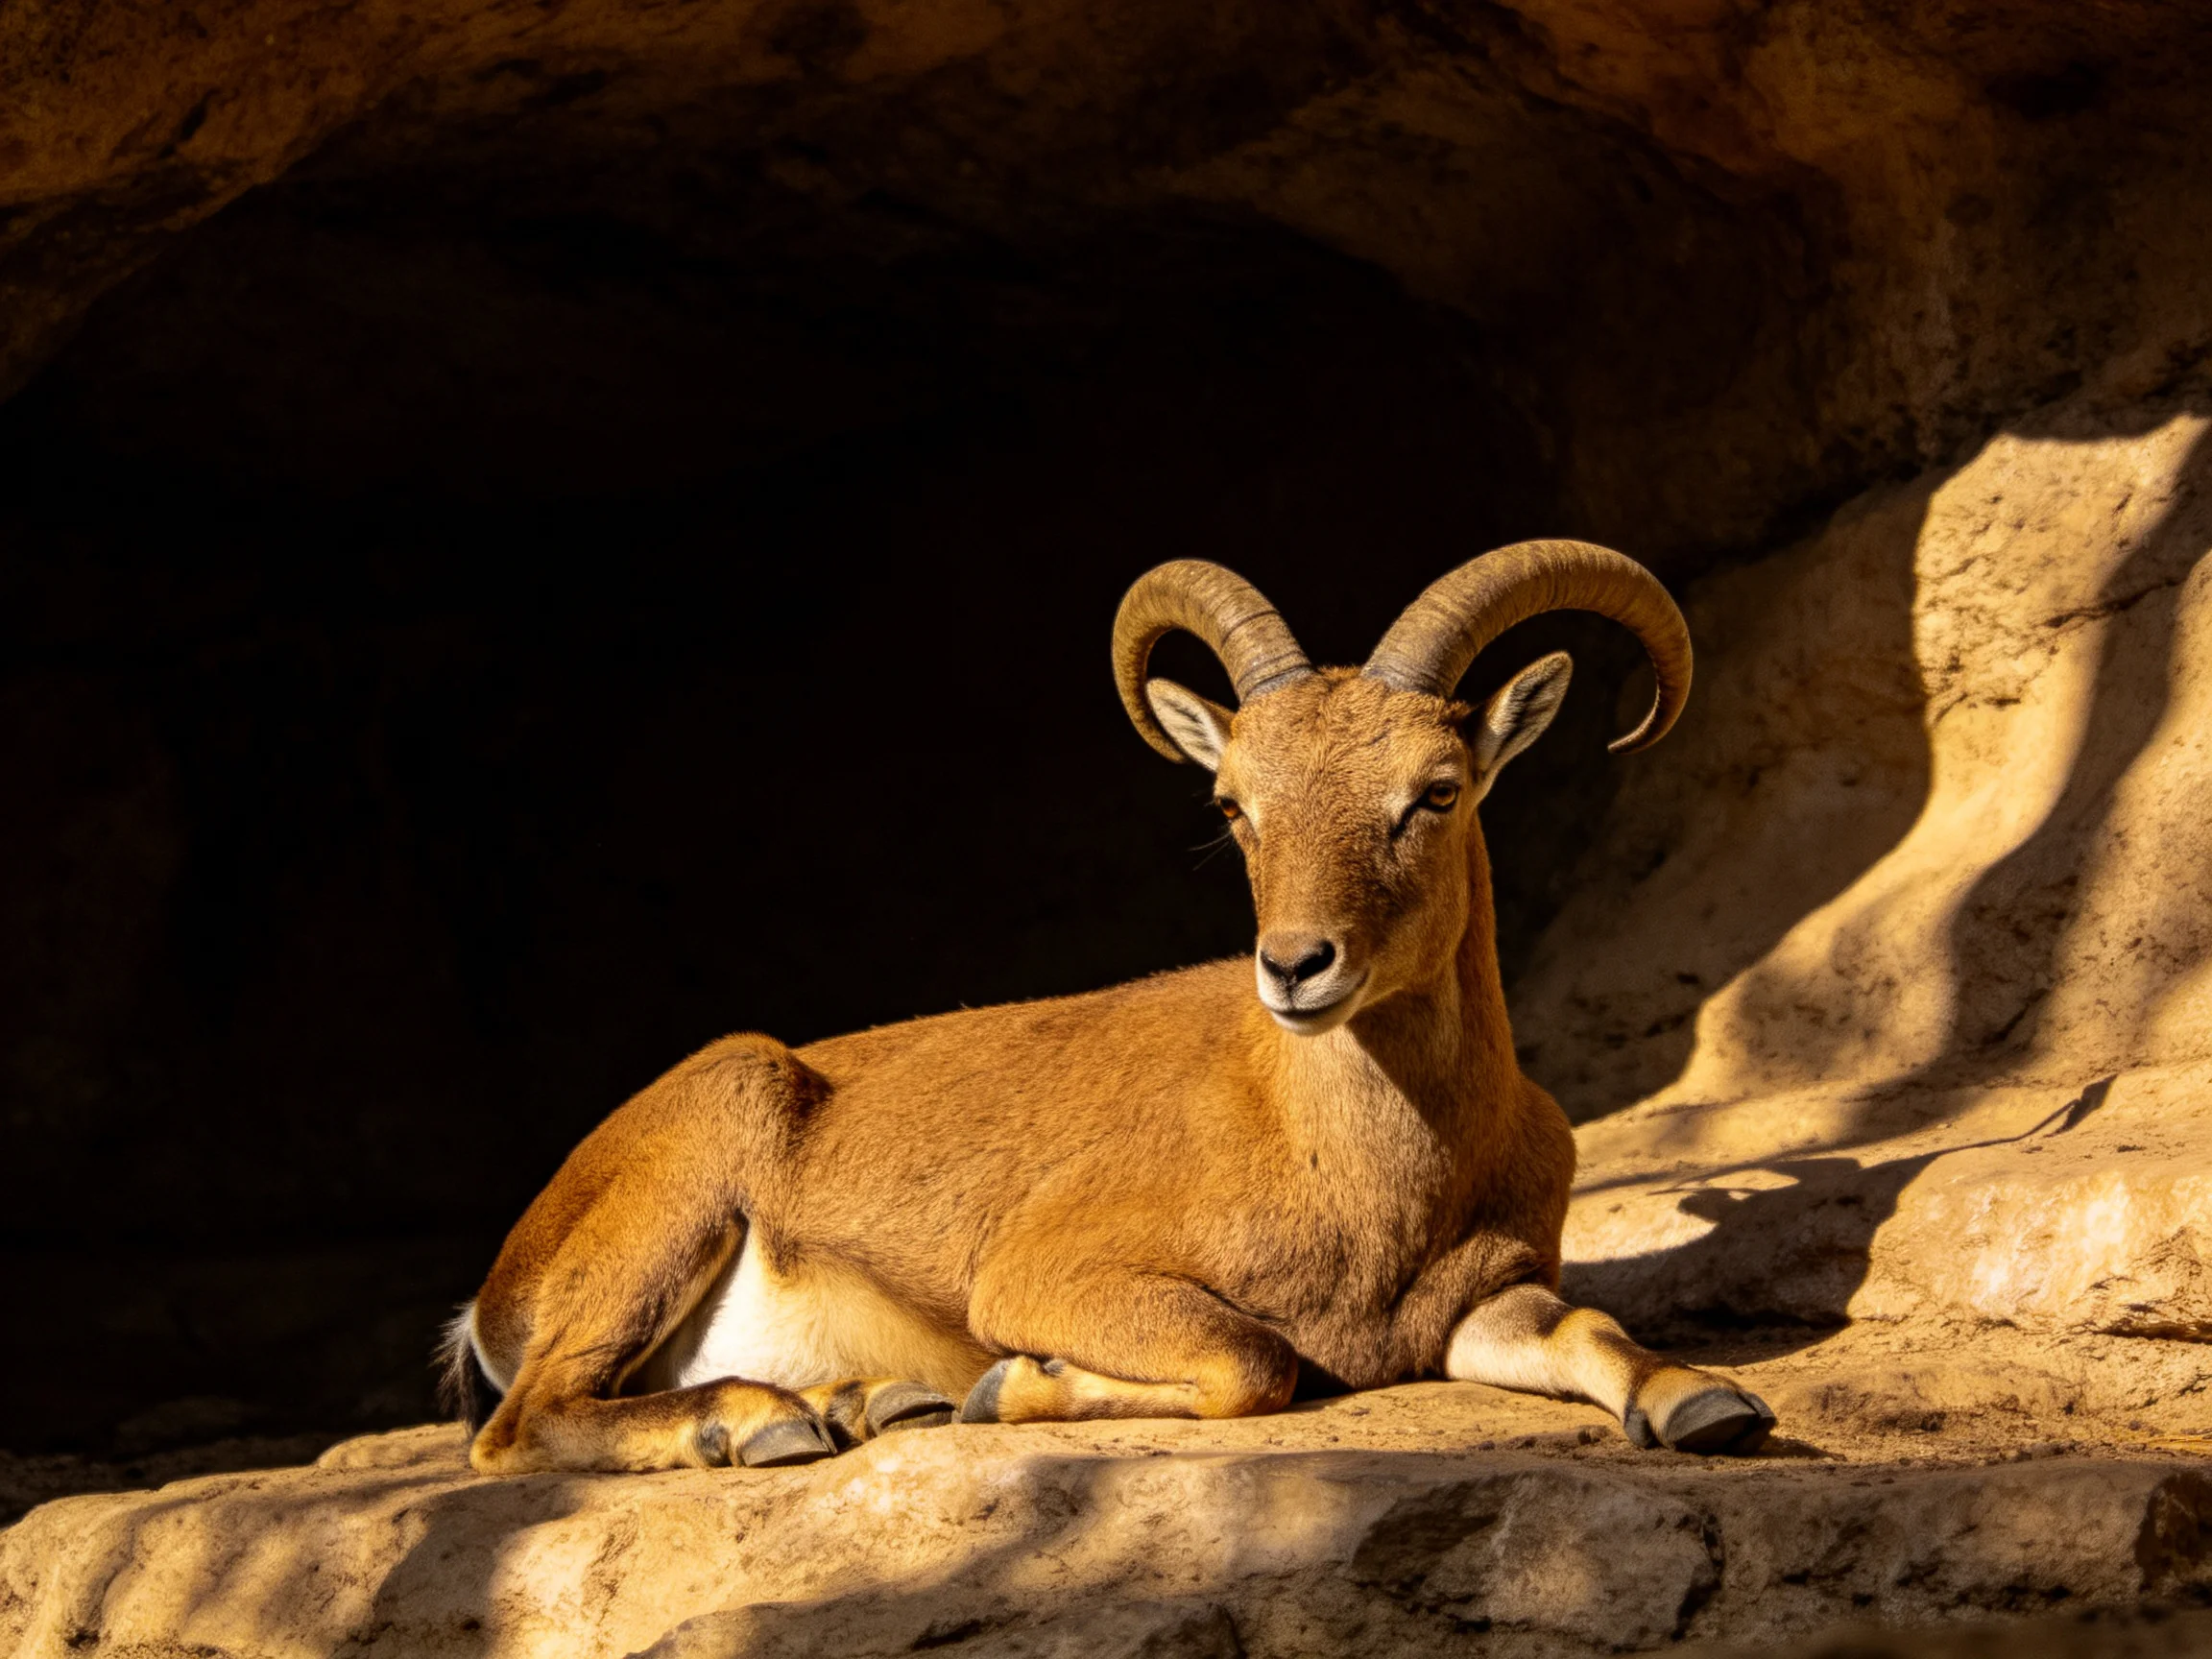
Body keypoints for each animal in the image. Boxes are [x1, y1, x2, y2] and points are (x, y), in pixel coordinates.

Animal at [444, 543, 1775, 1473]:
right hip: (686, 1176)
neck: (1357, 1170)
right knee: (524, 1425)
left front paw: (1705, 1402)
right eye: (1234, 803)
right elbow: (1252, 1361)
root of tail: (496, 1294)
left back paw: (857, 1403)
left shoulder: (1476, 1301)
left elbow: (1587, 1328)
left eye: (1436, 791)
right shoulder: (1049, 1273)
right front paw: (1009, 1387)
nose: (1296, 967)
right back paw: (758, 1425)